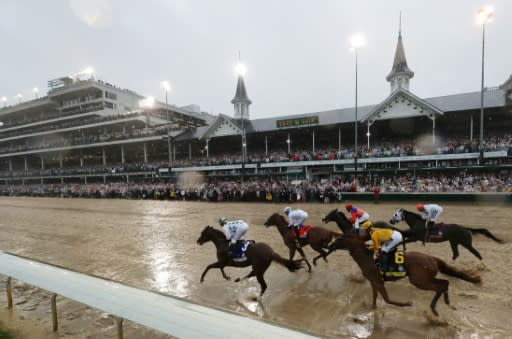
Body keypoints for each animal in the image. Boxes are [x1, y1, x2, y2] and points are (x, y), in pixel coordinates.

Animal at [326, 232, 482, 318]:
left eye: (339, 239)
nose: (329, 245)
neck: (367, 257)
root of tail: (431, 258)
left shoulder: (378, 281)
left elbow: (387, 299)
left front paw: (406, 304)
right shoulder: (373, 281)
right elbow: (375, 297)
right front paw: (372, 308)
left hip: (419, 280)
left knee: (442, 284)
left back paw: (435, 308)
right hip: (423, 279)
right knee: (444, 284)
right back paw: (445, 304)